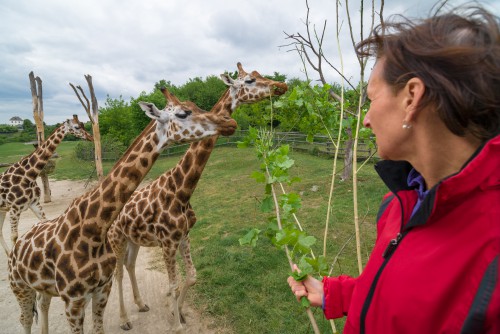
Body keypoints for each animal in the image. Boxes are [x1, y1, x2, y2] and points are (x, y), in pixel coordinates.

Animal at [0, 116, 93, 254]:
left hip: (2, 209)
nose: (90, 137)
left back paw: (7, 253)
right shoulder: (14, 208)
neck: (29, 175)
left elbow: (46, 223)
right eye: (76, 127)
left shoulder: (34, 203)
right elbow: (14, 236)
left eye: (83, 124)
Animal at [107, 62, 288, 332]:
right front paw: (175, 322)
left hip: (133, 239)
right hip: (116, 239)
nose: (281, 85)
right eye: (249, 81)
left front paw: (179, 312)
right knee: (117, 273)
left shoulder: (184, 235)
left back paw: (140, 304)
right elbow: (173, 284)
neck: (181, 189)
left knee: (129, 266)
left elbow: (191, 277)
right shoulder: (167, 241)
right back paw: (124, 319)